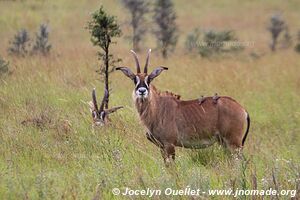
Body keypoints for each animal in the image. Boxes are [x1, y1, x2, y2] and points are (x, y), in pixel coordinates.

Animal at [116, 49, 250, 165]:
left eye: (150, 79)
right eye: (134, 79)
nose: (142, 91)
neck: (157, 108)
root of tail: (242, 109)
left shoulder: (169, 144)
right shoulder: (162, 147)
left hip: (233, 143)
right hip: (225, 143)